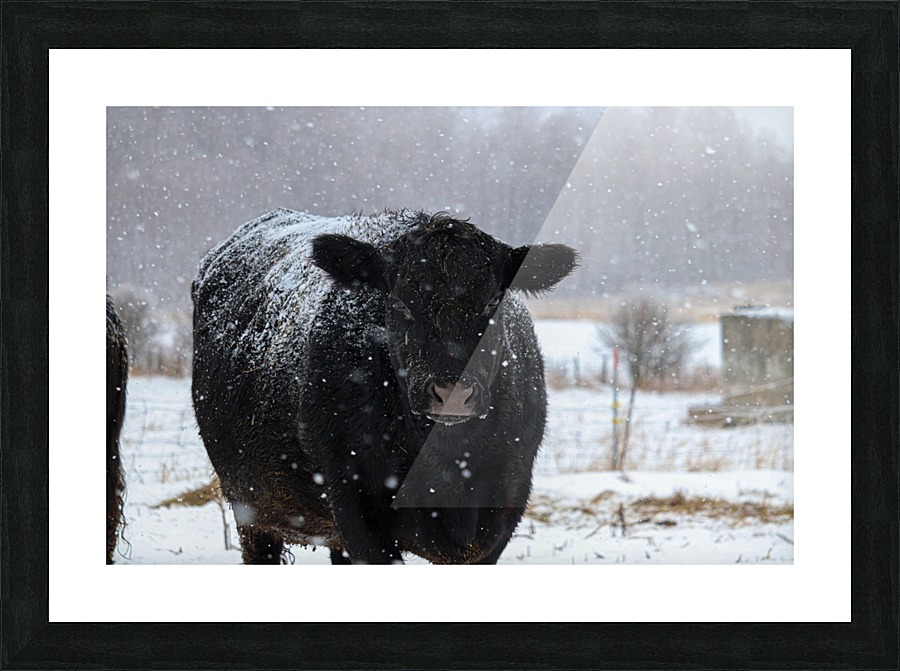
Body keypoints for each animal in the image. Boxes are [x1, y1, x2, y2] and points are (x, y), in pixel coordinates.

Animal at [191, 209, 578, 564]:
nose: (452, 393)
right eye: (400, 302)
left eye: (493, 302)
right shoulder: (356, 510)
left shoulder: (500, 515)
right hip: (250, 508)